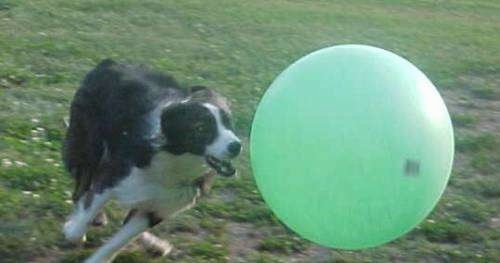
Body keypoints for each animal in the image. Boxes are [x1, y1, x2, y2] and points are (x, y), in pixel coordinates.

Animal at [62, 59, 242, 263]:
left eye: (229, 123)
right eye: (201, 128)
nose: (236, 146)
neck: (175, 160)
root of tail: (110, 62)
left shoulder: (159, 209)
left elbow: (118, 241)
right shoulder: (111, 176)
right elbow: (81, 220)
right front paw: (73, 229)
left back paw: (153, 243)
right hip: (86, 148)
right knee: (80, 190)